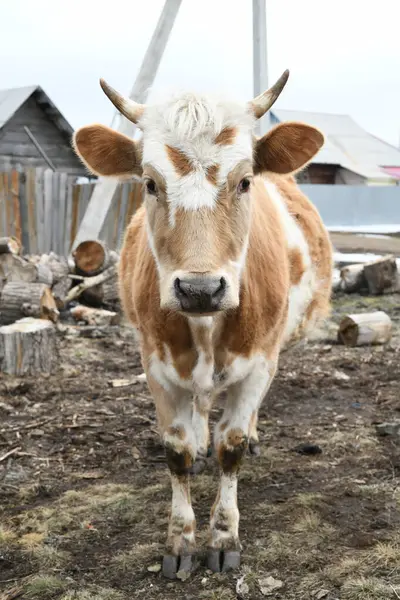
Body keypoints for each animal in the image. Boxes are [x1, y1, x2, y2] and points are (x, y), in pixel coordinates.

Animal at [72, 69, 334, 576]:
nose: (199, 289)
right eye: (150, 184)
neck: (206, 328)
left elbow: (231, 446)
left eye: (246, 181)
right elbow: (176, 452)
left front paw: (224, 536)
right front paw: (179, 541)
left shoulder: (260, 361)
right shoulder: (155, 364)